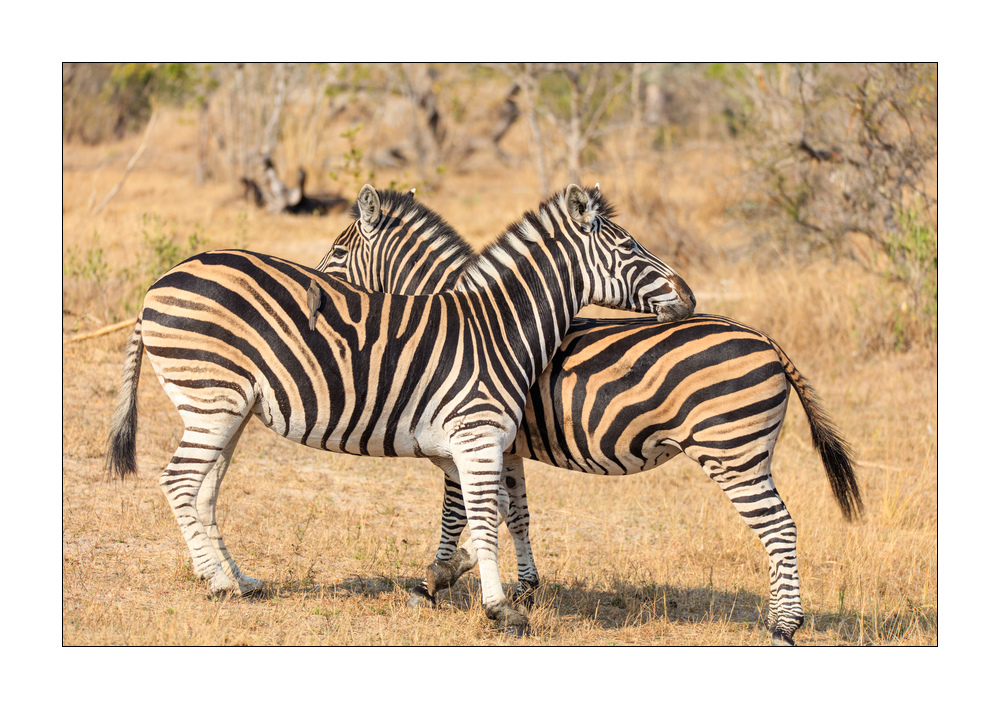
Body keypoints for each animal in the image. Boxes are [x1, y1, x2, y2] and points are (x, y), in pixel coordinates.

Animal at [105, 184, 696, 634]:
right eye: (629, 247)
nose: (689, 296)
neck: (497, 328)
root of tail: (159, 280)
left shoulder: (478, 445)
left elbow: (500, 512)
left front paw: (459, 577)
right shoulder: (473, 437)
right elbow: (483, 514)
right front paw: (495, 604)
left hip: (226, 409)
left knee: (204, 487)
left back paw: (234, 579)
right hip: (213, 399)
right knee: (180, 480)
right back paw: (218, 582)